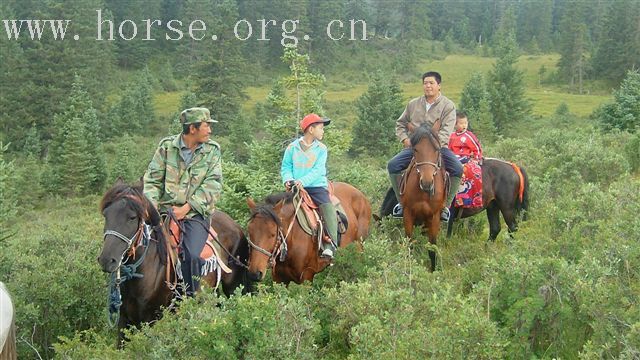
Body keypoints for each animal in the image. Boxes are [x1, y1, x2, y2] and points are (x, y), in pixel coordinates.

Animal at [97, 183, 250, 346]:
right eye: (106, 215)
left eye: (132, 217)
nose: (107, 260)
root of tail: (235, 225)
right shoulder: (124, 321)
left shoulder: (152, 321)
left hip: (234, 287)